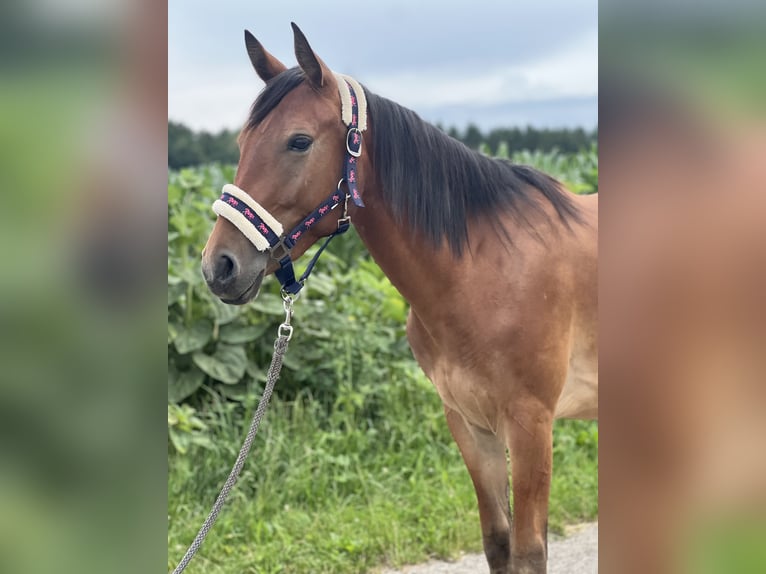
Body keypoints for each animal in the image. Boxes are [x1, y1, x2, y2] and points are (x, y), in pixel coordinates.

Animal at [201, 23, 598, 574]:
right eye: (241, 142)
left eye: (298, 141)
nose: (219, 267)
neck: (486, 270)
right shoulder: (469, 424)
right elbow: (497, 541)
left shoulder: (531, 425)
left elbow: (528, 552)